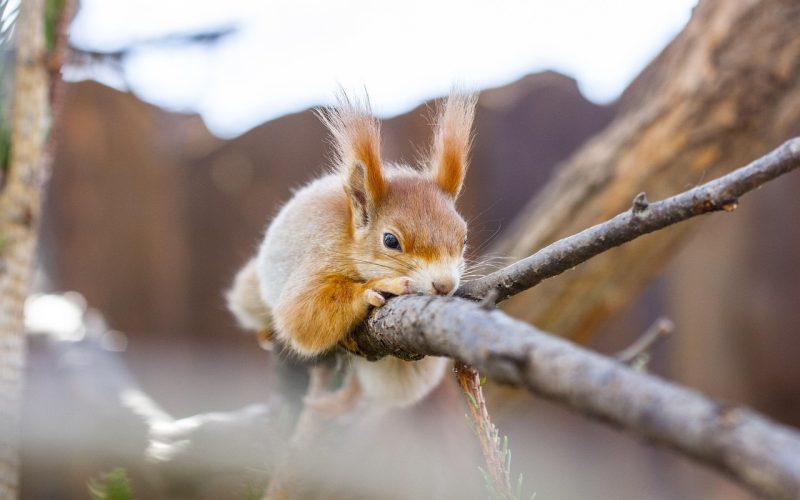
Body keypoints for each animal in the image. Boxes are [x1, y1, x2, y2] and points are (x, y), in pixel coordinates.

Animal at [227, 92, 476, 408]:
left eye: (464, 239)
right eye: (390, 240)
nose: (444, 285)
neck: (349, 240)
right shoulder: (320, 253)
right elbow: (300, 314)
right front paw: (376, 287)